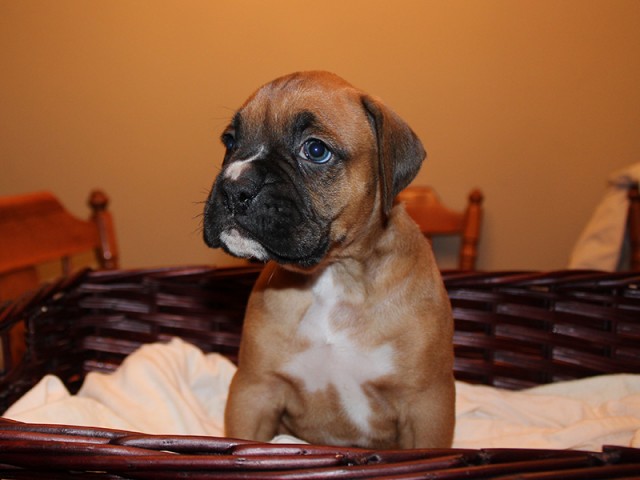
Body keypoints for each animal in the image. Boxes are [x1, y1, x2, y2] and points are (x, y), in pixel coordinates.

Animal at [202, 71, 452, 450]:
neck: (338, 274)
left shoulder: (426, 407)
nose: (234, 187)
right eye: (230, 141)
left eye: (316, 150)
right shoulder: (254, 391)